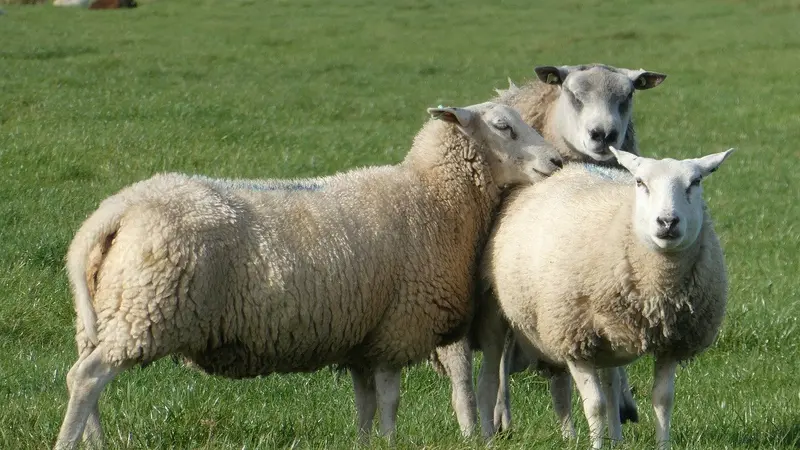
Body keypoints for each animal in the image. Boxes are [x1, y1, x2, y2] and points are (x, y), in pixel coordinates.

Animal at [53, 101, 564, 450]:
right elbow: (390, 401)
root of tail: (118, 209)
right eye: (503, 127)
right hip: (147, 311)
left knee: (88, 380)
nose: (557, 162)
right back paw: (68, 441)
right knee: (86, 378)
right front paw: (390, 442)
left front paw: (365, 443)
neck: (433, 196)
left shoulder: (365, 339)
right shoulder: (397, 329)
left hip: (107, 314)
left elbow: (365, 404)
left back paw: (95, 442)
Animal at [431, 63, 667, 438]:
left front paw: (615, 414)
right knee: (469, 374)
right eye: (573, 94)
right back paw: (478, 426)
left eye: (628, 95)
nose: (604, 134)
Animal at [476, 147, 733, 448]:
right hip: (502, 314)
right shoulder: (574, 338)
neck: (658, 291)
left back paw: (607, 437)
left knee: (603, 383)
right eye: (640, 183)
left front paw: (662, 444)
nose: (668, 222)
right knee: (498, 376)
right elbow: (594, 405)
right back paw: (495, 431)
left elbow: (662, 401)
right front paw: (595, 444)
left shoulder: (672, 342)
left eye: (695, 182)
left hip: (604, 336)